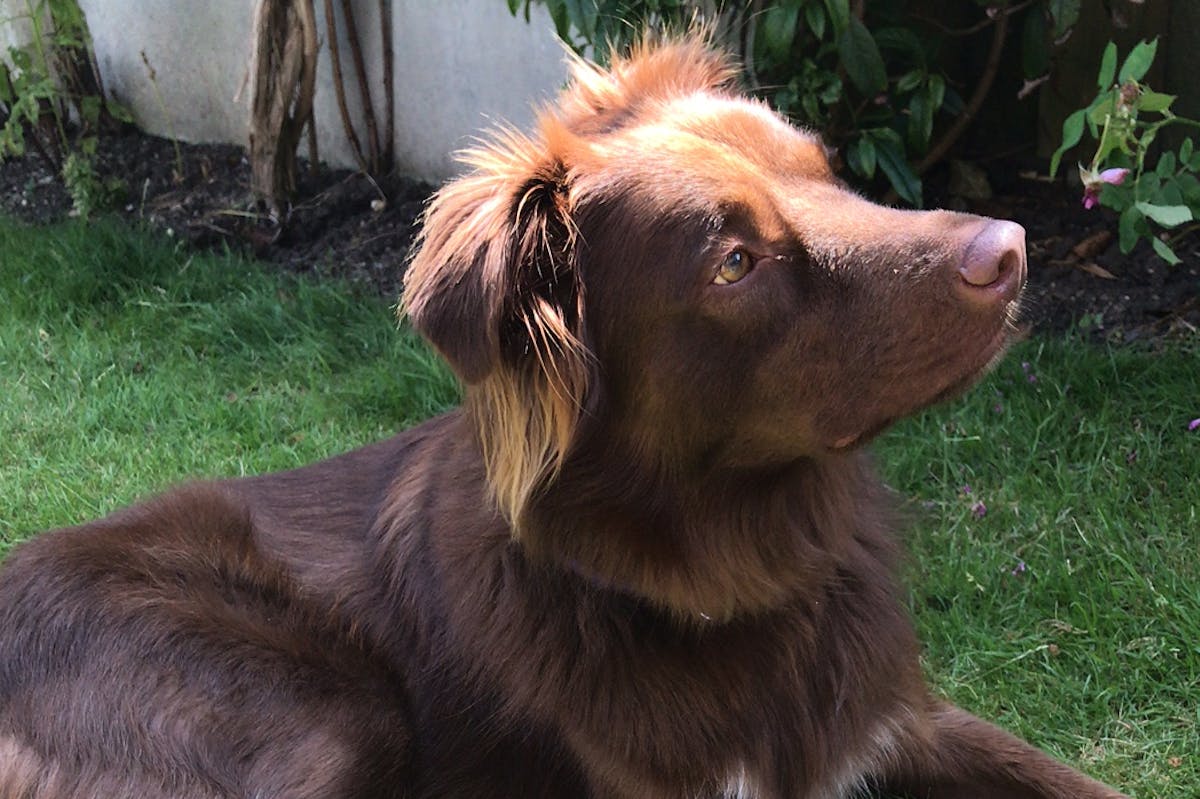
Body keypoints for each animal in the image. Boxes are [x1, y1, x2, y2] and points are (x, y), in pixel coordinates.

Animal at [0, 37, 1123, 796]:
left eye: (826, 171)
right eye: (734, 261)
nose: (1014, 250)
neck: (738, 568)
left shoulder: (904, 722)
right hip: (315, 714)